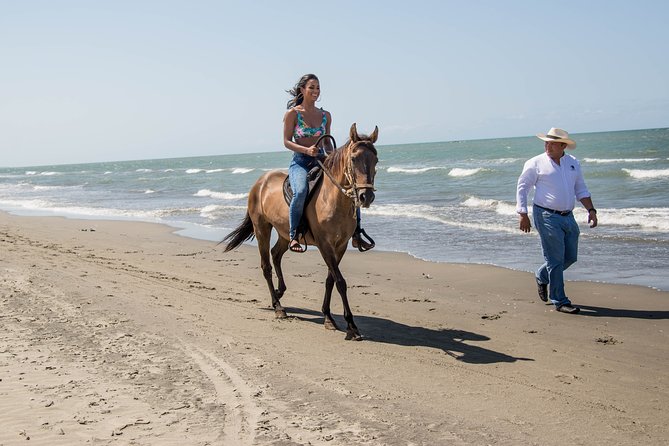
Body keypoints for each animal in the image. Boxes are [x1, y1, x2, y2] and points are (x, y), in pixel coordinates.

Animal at [222, 123, 379, 340]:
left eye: (376, 160)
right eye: (354, 159)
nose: (366, 196)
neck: (332, 199)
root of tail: (260, 182)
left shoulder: (341, 245)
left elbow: (330, 279)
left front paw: (328, 317)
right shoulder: (324, 244)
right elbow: (340, 281)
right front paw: (351, 326)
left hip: (284, 232)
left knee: (276, 254)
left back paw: (279, 292)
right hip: (262, 228)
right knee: (266, 266)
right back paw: (278, 307)